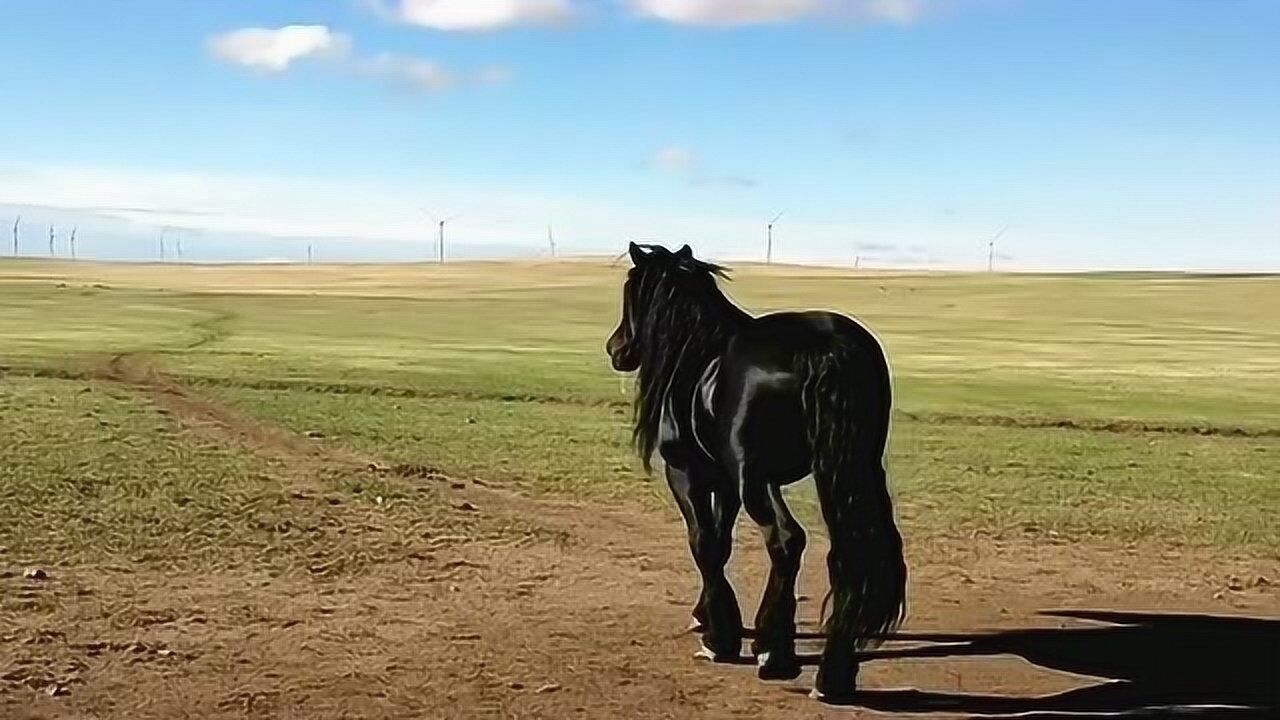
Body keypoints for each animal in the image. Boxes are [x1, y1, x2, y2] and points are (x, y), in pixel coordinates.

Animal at [605, 242, 907, 701]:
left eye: (630, 293)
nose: (616, 348)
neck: (696, 354)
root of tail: (825, 346)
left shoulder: (687, 474)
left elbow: (704, 544)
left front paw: (719, 638)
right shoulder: (725, 482)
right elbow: (720, 542)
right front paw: (709, 616)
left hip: (758, 480)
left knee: (786, 541)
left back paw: (774, 653)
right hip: (850, 470)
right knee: (847, 551)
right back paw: (834, 674)